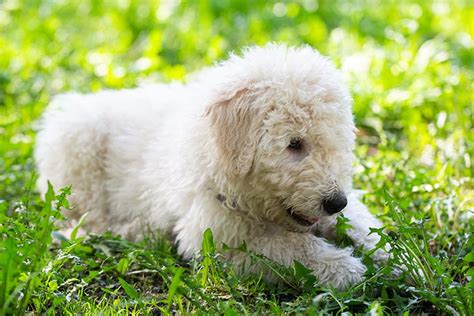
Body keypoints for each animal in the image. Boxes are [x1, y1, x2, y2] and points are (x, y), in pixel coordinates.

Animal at [36, 43, 386, 288]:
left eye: (336, 143)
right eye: (294, 144)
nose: (335, 202)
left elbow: (360, 224)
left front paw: (395, 256)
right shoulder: (215, 238)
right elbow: (287, 247)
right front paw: (344, 268)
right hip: (77, 151)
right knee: (83, 222)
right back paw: (134, 231)